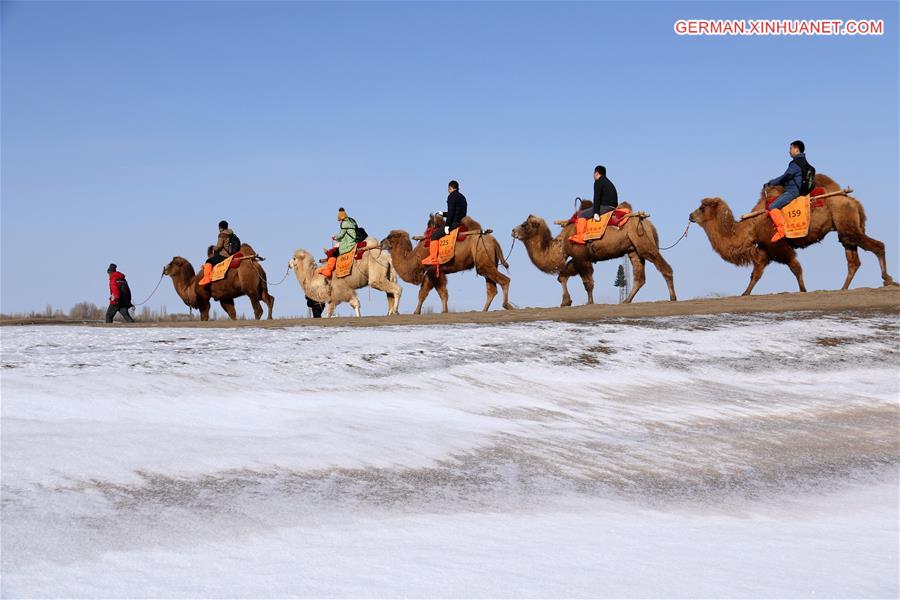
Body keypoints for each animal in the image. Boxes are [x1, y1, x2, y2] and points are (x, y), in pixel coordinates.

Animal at [382, 218, 512, 316]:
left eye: (389, 236)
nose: (381, 243)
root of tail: (494, 241)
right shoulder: (431, 272)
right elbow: (424, 292)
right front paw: (417, 311)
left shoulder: (433, 270)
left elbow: (440, 292)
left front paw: (444, 311)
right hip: (488, 261)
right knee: (492, 288)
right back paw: (484, 310)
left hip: (483, 259)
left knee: (504, 280)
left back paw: (507, 305)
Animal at [512, 202, 676, 304]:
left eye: (524, 224)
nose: (513, 231)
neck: (561, 243)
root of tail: (648, 223)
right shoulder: (577, 258)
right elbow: (562, 276)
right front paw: (565, 302)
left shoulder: (581, 258)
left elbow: (587, 283)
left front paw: (589, 302)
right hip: (633, 250)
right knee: (639, 276)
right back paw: (626, 300)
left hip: (643, 243)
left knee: (664, 267)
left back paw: (673, 297)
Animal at [688, 173, 892, 296]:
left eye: (701, 207)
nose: (690, 215)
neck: (752, 226)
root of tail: (854, 201)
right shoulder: (765, 248)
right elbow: (756, 274)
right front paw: (744, 293)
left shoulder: (777, 245)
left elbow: (795, 267)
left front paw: (803, 290)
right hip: (845, 228)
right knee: (853, 259)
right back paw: (843, 288)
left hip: (847, 223)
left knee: (877, 245)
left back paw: (887, 279)